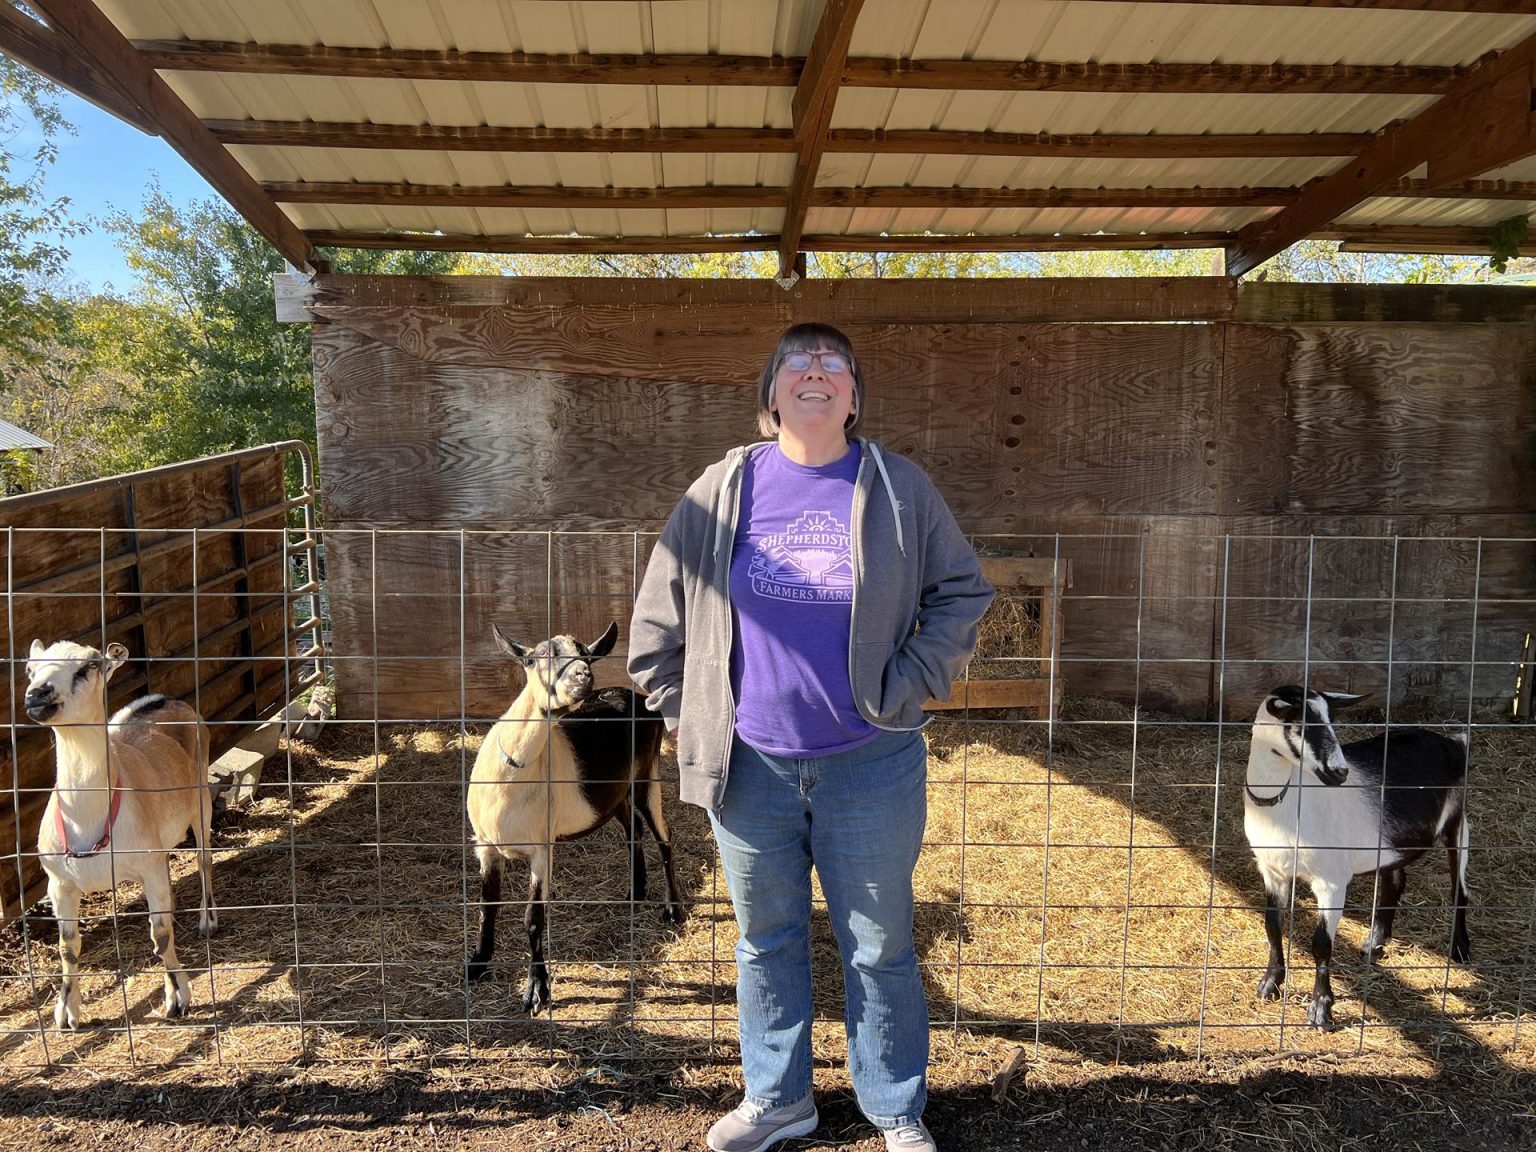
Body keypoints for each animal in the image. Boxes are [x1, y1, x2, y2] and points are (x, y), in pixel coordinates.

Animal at [24, 642, 216, 1026]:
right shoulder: (59, 883)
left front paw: (178, 998)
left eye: (88, 666)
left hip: (201, 795)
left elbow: (161, 934)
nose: (38, 694)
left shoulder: (149, 867)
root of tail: (163, 698)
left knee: (204, 858)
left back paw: (208, 920)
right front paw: (67, 1012)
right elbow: (68, 947)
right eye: (29, 669)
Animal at [460, 623, 678, 1007]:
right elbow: (488, 906)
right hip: (615, 791)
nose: (583, 675)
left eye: (586, 655)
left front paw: (537, 989)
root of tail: (639, 700)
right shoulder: (485, 846)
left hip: (647, 775)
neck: (511, 775)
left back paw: (673, 911)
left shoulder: (541, 849)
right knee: (632, 828)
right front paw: (477, 964)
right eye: (536, 657)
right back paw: (635, 890)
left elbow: (533, 918)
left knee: (663, 838)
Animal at [1241, 691, 1468, 1032]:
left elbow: (1321, 943)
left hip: (1458, 822)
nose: (1339, 772)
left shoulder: (1331, 881)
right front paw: (1269, 984)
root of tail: (1453, 742)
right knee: (1395, 880)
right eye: (1298, 724)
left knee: (1459, 888)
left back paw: (1460, 949)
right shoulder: (1271, 871)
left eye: (1332, 720)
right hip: (1390, 843)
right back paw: (1374, 943)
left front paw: (1320, 1010)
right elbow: (1272, 925)